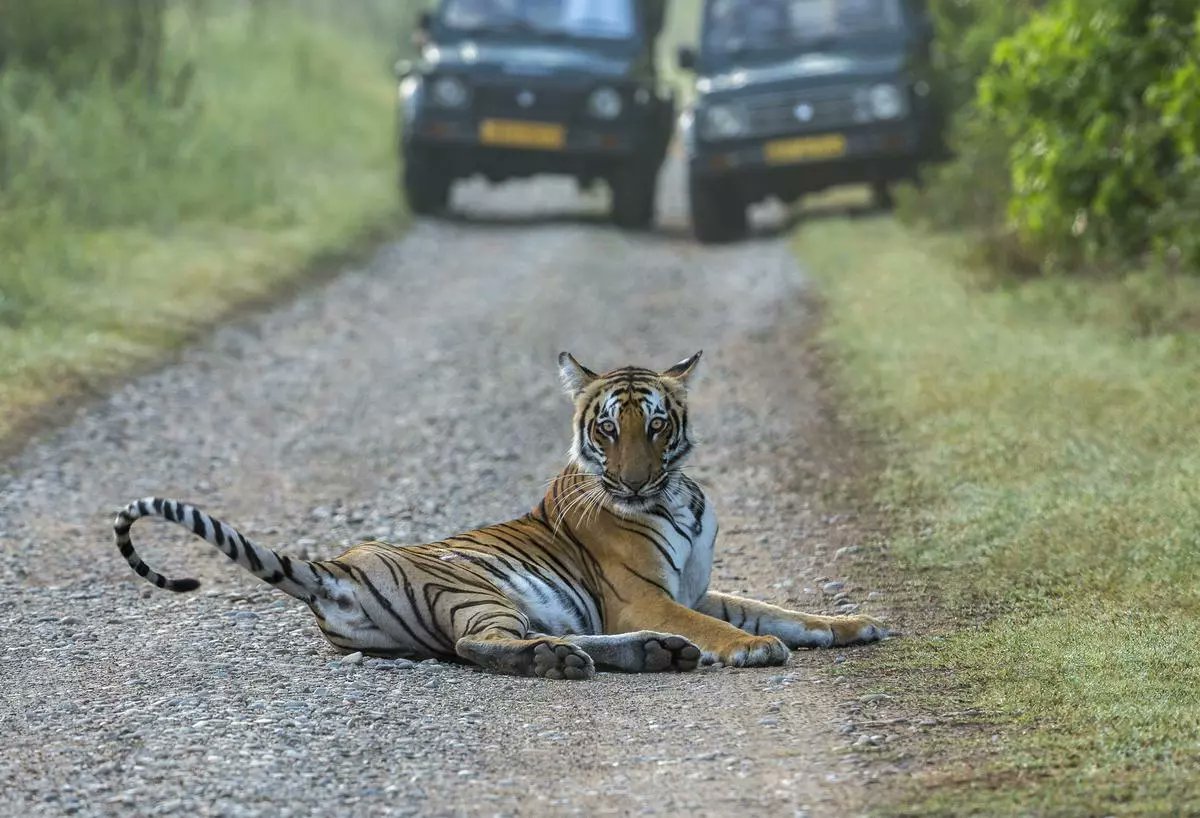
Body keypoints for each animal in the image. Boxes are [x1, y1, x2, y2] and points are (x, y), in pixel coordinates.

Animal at [114, 351, 889, 680]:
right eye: (607, 429)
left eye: (657, 426)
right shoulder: (643, 596)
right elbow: (728, 627)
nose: (633, 481)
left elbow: (780, 609)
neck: (677, 495)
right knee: (476, 646)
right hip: (477, 590)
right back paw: (572, 661)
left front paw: (853, 625)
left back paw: (650, 653)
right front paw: (753, 648)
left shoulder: (696, 589)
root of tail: (337, 566)